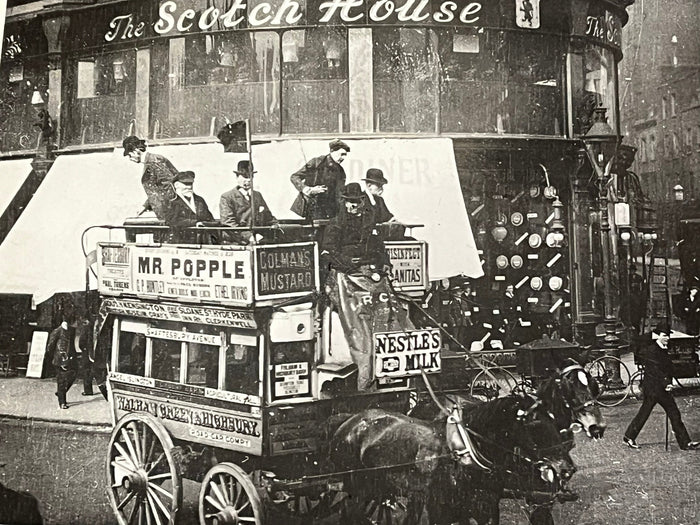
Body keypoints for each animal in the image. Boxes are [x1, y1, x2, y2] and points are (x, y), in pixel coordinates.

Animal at [328, 396, 576, 520]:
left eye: (554, 419)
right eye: (533, 423)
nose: (567, 469)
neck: (465, 453)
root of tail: (348, 422)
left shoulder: (486, 508)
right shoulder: (441, 508)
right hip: (358, 489)